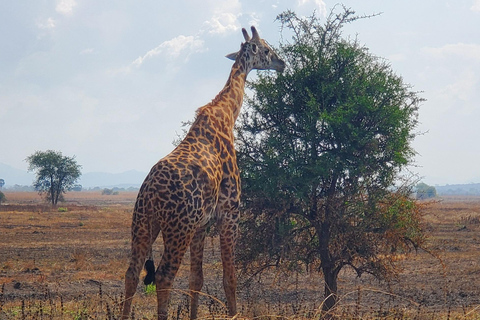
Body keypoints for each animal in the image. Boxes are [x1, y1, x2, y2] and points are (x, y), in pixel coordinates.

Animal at [121, 26, 284, 320]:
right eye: (266, 49)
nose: (282, 63)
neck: (227, 114)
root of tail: (151, 193)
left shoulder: (202, 224)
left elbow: (196, 278)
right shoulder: (230, 212)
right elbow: (230, 277)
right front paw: (233, 314)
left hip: (143, 223)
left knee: (131, 273)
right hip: (177, 228)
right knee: (163, 276)